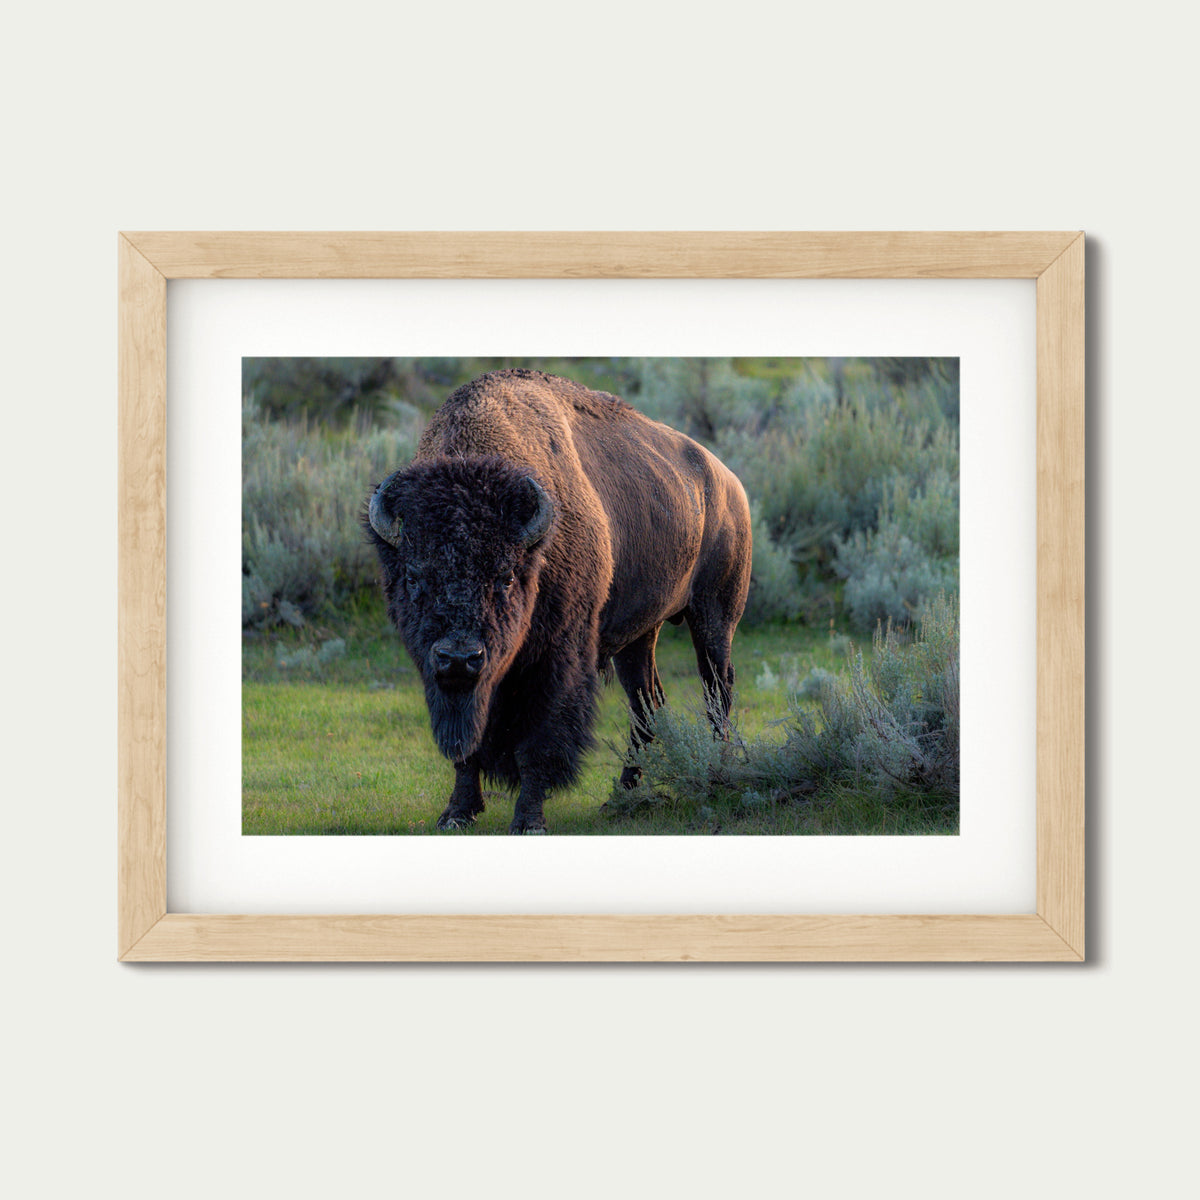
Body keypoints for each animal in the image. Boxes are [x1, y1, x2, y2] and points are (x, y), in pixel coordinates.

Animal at [366, 369, 751, 833]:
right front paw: (457, 813)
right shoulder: (453, 682)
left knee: (717, 689)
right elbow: (468, 747)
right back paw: (621, 796)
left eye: (506, 576)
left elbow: (538, 742)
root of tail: (727, 482)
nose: (459, 658)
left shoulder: (554, 660)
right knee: (647, 702)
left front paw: (529, 821)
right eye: (413, 577)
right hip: (639, 635)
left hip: (715, 616)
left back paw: (715, 775)